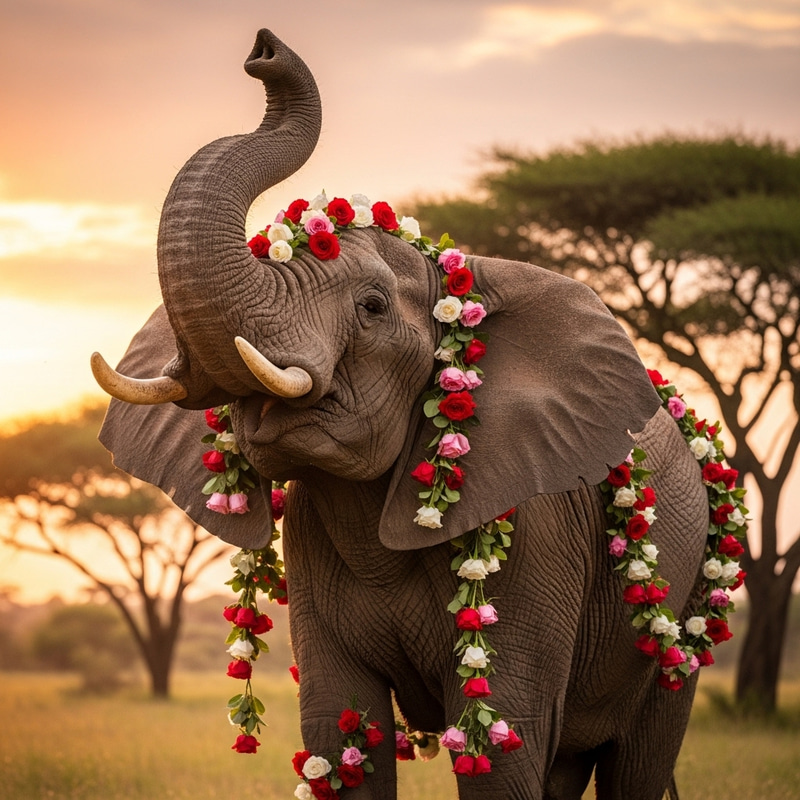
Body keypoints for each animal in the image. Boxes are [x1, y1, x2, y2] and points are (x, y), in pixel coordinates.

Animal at [92, 29, 711, 800]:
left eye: (373, 306)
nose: (263, 50)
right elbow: (338, 731)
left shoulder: (537, 537)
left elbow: (507, 746)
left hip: (685, 605)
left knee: (639, 756)